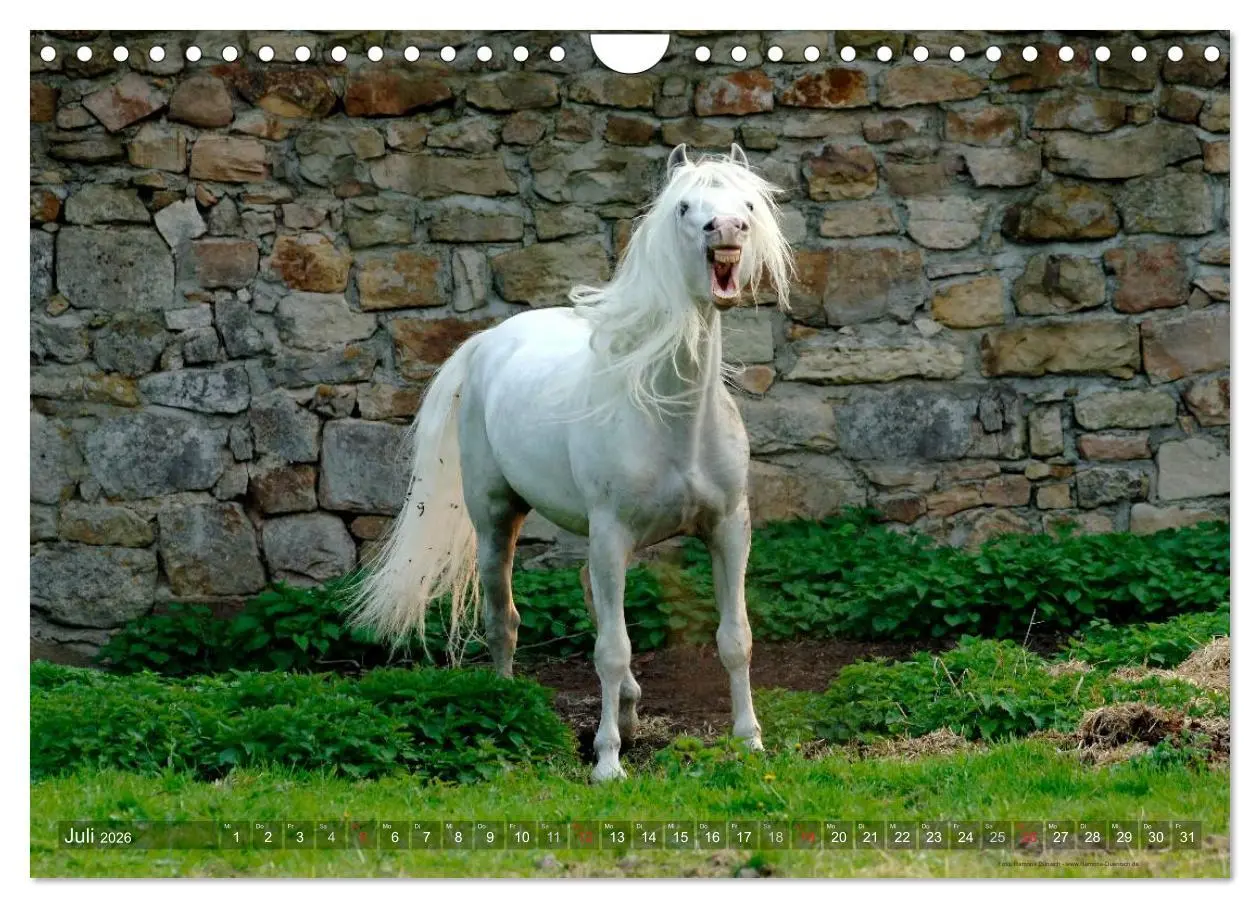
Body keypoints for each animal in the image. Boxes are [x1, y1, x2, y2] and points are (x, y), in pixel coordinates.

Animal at [350, 143, 796, 782]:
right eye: (686, 207)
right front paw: (607, 763)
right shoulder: (610, 534)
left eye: (749, 205)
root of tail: (487, 342)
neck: (673, 419)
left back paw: (629, 712)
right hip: (497, 520)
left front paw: (749, 743)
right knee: (504, 619)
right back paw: (511, 706)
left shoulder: (729, 529)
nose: (727, 231)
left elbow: (735, 638)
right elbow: (610, 650)